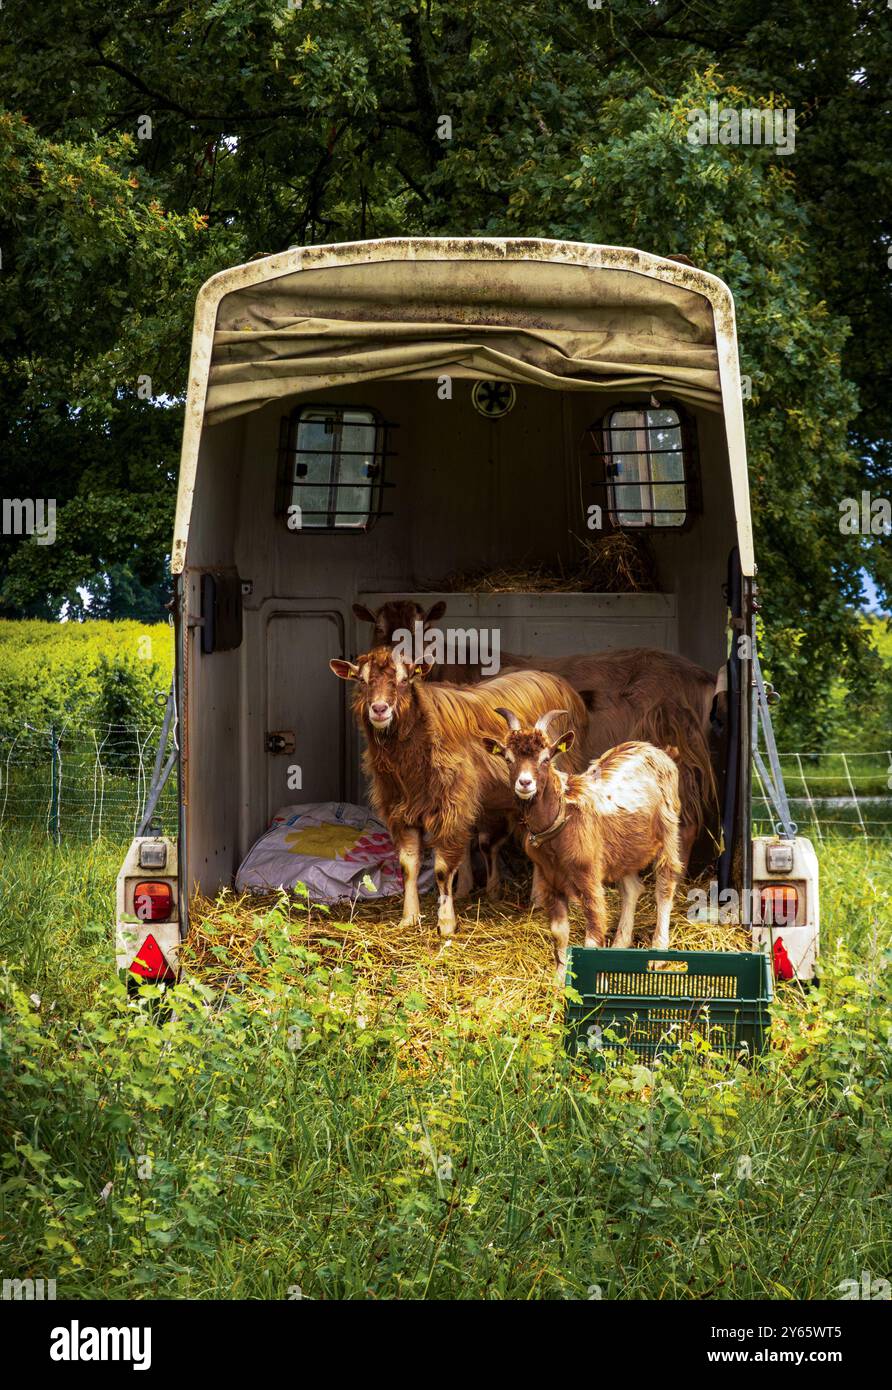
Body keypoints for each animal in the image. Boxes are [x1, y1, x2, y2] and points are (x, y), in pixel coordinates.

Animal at [330, 647, 586, 934]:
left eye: (404, 680)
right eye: (362, 681)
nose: (379, 709)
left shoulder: (451, 805)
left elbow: (442, 869)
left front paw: (446, 923)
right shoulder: (401, 809)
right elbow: (408, 865)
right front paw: (409, 917)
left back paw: (539, 900)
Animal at [477, 711, 680, 984]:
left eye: (546, 758)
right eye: (508, 759)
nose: (525, 783)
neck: (561, 819)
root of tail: (656, 750)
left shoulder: (589, 877)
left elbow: (594, 931)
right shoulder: (550, 880)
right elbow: (559, 932)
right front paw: (558, 981)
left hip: (669, 829)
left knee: (666, 883)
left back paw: (658, 955)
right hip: (623, 849)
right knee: (632, 889)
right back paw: (620, 946)